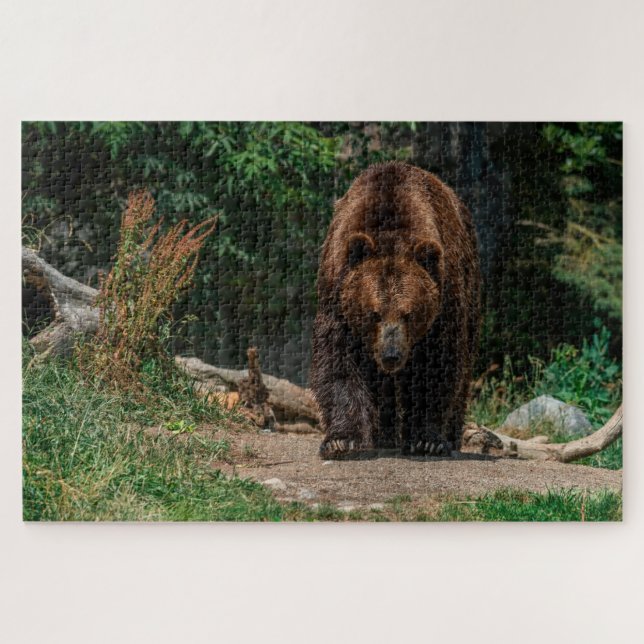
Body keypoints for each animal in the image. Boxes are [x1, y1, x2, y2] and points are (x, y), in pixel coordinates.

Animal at [310, 161, 481, 458]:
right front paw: (341, 440)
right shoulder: (337, 293)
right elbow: (337, 360)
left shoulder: (444, 301)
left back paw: (449, 437)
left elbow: (437, 367)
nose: (392, 354)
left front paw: (427, 440)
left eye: (408, 314)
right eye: (374, 313)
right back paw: (384, 436)